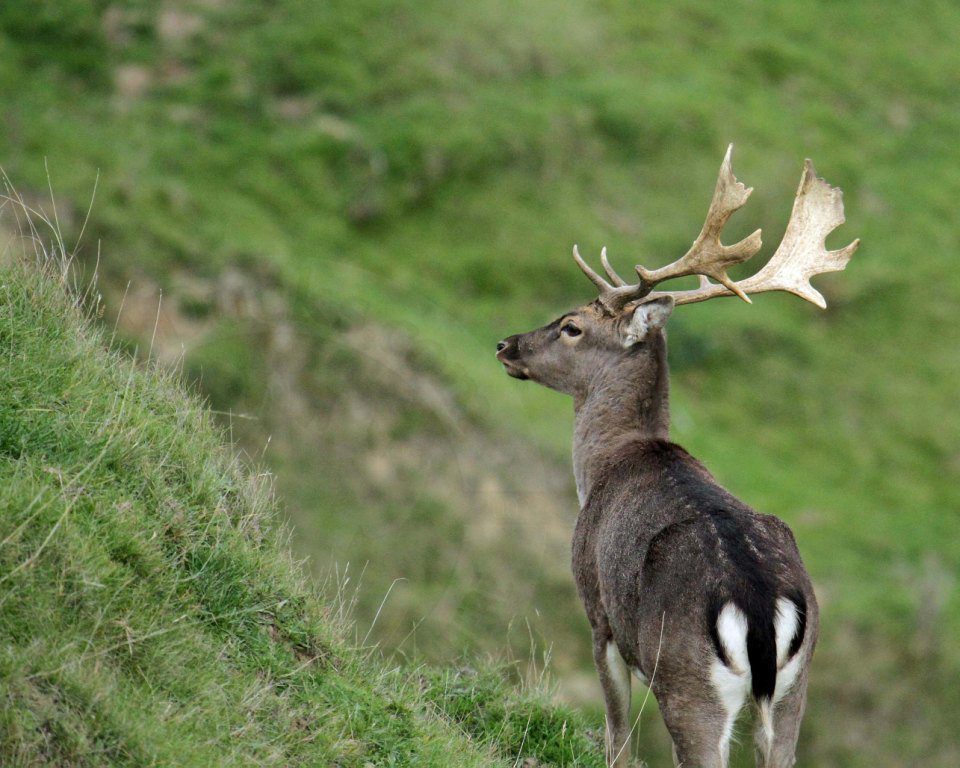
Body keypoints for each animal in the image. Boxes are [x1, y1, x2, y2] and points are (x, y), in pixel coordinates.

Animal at [498, 146, 860, 768]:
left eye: (571, 326)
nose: (506, 345)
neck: (605, 466)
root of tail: (759, 605)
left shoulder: (598, 609)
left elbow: (617, 736)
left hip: (688, 679)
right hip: (795, 689)